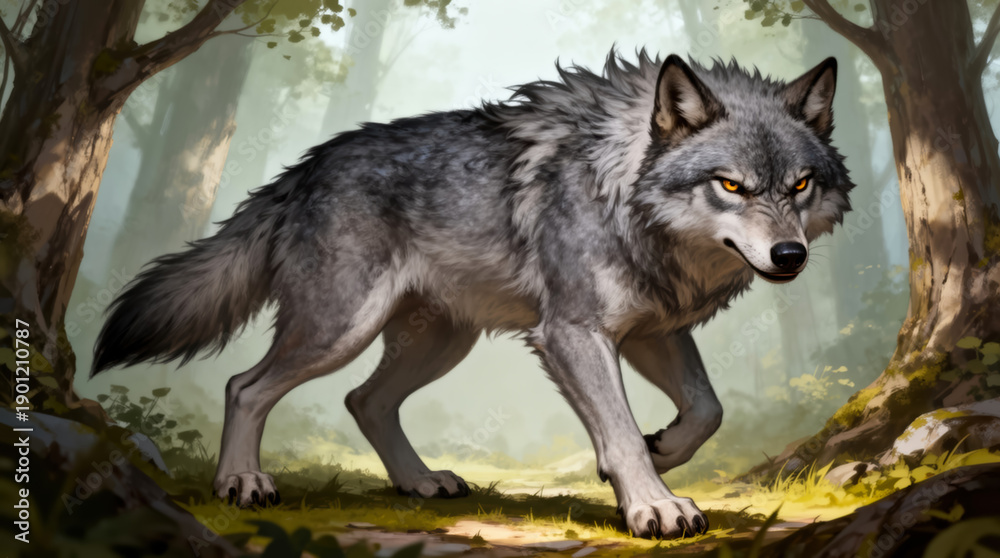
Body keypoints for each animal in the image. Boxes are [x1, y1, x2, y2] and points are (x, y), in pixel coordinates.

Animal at [93, 50, 853, 539]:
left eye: (800, 184)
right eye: (731, 185)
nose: (790, 256)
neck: (624, 196)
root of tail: (304, 167)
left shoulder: (651, 330)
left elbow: (706, 411)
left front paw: (660, 448)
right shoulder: (573, 333)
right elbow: (625, 431)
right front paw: (654, 504)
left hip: (438, 343)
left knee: (363, 401)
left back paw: (420, 481)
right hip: (341, 330)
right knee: (245, 386)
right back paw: (242, 483)